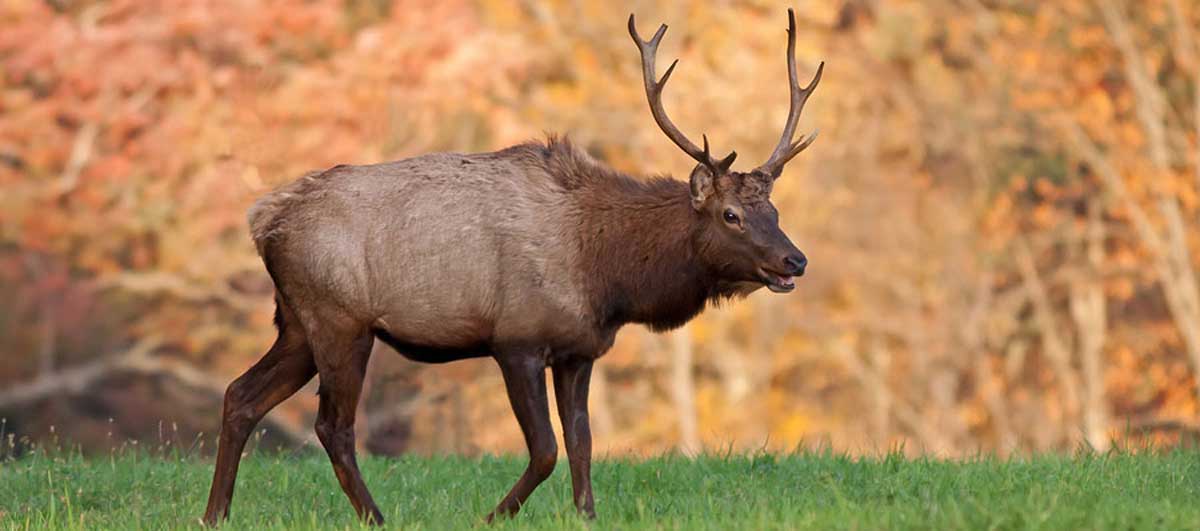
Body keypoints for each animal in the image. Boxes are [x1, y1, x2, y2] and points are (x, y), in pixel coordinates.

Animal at [204, 9, 825, 526]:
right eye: (730, 215)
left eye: (773, 210)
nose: (795, 259)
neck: (608, 279)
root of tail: (263, 220)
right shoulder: (517, 339)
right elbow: (546, 449)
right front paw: (492, 515)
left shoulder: (579, 349)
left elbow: (582, 442)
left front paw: (586, 516)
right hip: (339, 319)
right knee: (332, 425)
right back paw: (374, 518)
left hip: (296, 322)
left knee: (240, 394)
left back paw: (215, 514)